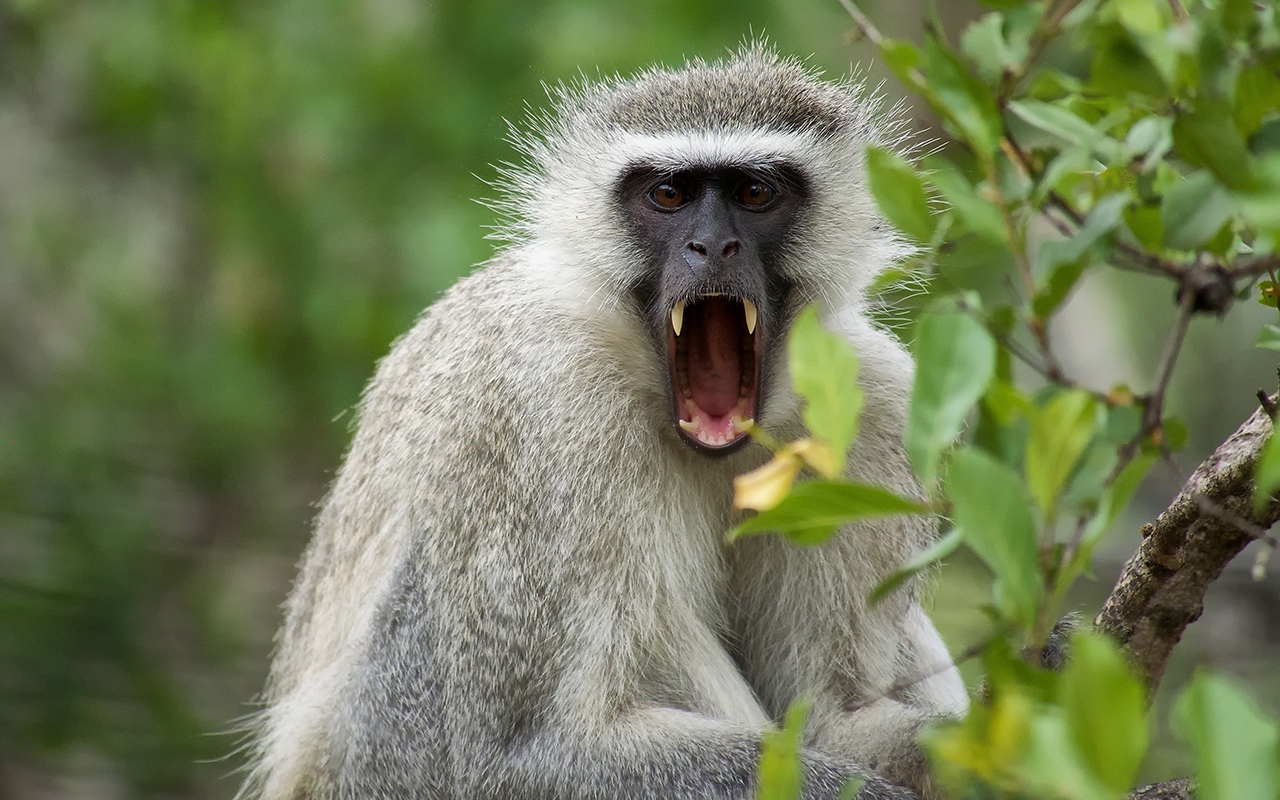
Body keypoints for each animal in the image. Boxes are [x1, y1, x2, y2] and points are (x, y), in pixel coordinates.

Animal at [240, 44, 969, 800]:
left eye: (754, 194)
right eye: (669, 195)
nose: (712, 247)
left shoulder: (874, 410)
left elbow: (835, 718)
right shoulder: (546, 407)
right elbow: (497, 758)